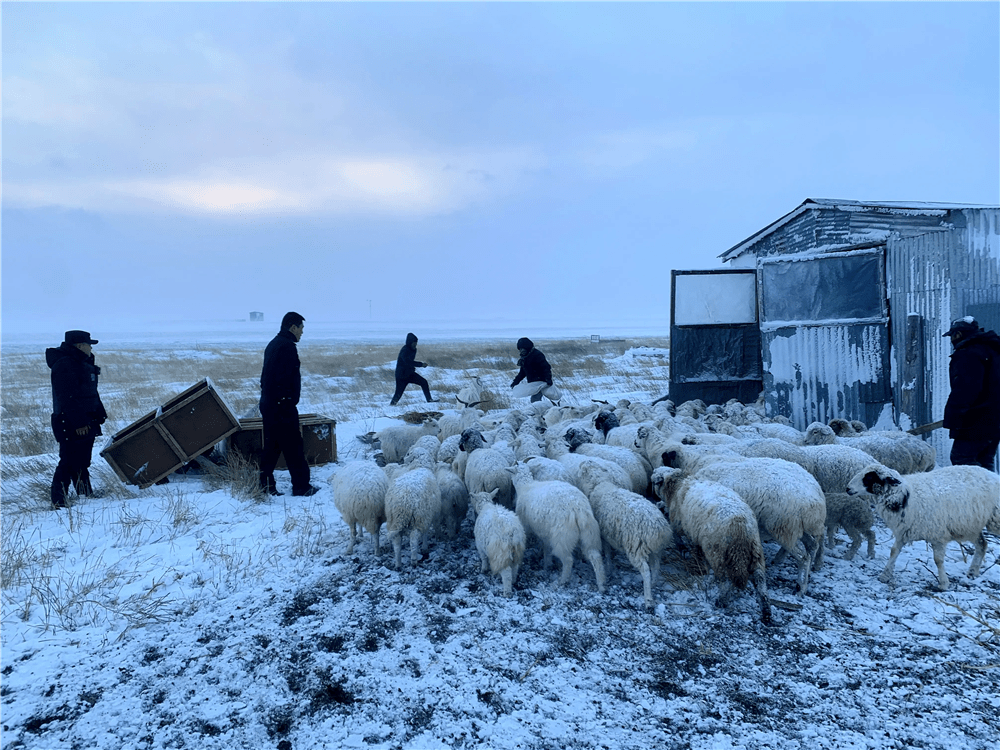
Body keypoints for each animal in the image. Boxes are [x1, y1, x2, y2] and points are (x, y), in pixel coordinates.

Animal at [508, 464, 600, 592]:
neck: (526, 485)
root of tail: (578, 509)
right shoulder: (546, 533)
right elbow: (546, 548)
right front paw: (547, 565)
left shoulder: (526, 525)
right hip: (589, 532)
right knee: (595, 555)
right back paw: (602, 585)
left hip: (562, 537)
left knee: (568, 560)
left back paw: (562, 581)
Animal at [580, 462, 672, 608]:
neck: (600, 484)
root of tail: (658, 529)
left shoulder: (604, 535)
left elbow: (607, 553)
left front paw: (609, 569)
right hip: (655, 550)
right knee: (656, 567)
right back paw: (653, 584)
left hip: (635, 547)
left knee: (646, 571)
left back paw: (648, 599)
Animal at [652, 468, 768, 624]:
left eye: (654, 482)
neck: (677, 485)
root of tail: (740, 526)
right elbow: (696, 547)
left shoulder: (679, 523)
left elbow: (677, 537)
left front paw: (683, 550)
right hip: (756, 552)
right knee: (761, 582)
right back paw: (766, 612)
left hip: (717, 553)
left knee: (726, 581)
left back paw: (721, 601)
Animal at [844, 464, 1000, 592]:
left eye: (869, 477)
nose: (848, 489)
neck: (904, 497)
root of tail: (992, 474)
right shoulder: (903, 532)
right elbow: (894, 552)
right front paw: (885, 575)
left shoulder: (938, 535)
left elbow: (938, 560)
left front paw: (943, 583)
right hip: (969, 526)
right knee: (982, 544)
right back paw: (973, 572)